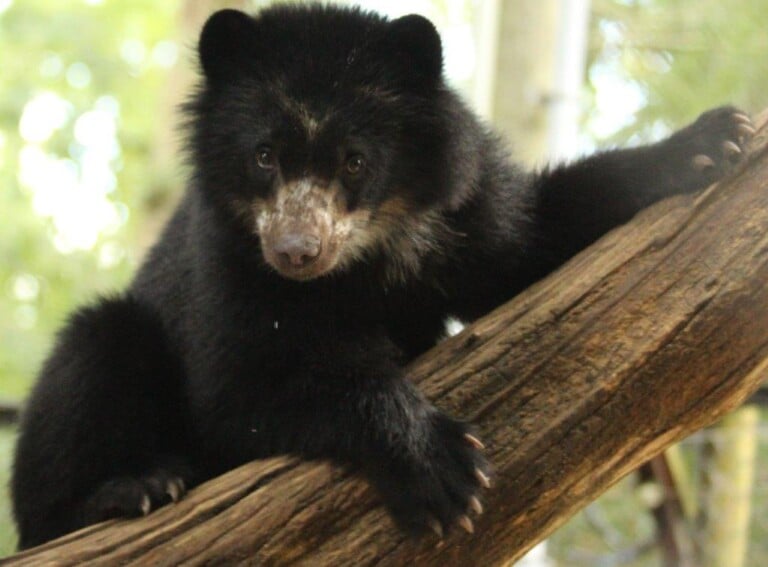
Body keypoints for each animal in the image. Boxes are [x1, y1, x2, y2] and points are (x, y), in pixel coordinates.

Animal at [10, 1, 756, 552]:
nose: (295, 251)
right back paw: (134, 489)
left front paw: (714, 140)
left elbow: (532, 244)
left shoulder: (464, 210)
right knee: (92, 359)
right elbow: (245, 387)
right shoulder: (229, 260)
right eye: (263, 155)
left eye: (356, 160)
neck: (362, 260)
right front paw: (443, 470)